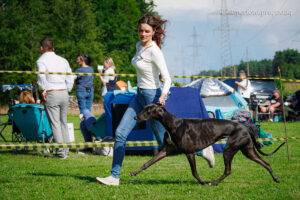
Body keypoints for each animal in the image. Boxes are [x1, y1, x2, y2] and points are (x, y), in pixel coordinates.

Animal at [129, 104, 284, 185]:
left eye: (148, 110)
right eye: (144, 108)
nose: (135, 117)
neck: (172, 124)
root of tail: (245, 127)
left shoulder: (189, 153)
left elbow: (194, 172)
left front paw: (202, 182)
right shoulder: (165, 150)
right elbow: (148, 163)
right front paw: (134, 172)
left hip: (229, 149)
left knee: (228, 170)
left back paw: (213, 182)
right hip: (248, 151)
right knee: (266, 163)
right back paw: (275, 178)